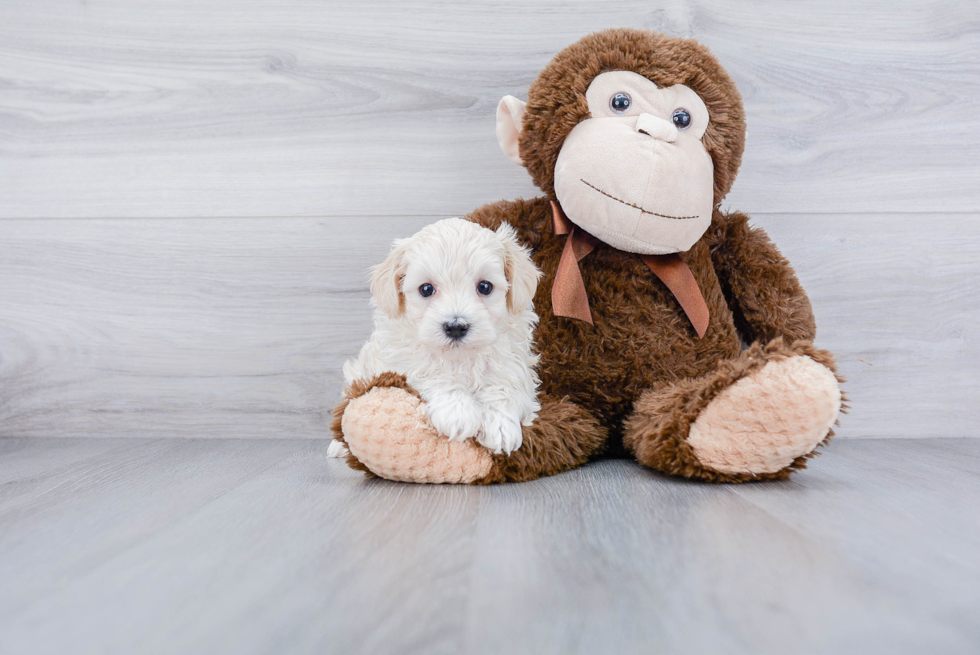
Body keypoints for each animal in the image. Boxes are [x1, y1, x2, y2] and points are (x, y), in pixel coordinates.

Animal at [334, 220, 540, 456]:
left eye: (485, 287)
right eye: (426, 289)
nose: (456, 326)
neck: (460, 359)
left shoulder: (513, 362)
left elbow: (504, 385)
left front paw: (500, 425)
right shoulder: (402, 360)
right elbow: (433, 373)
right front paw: (458, 412)